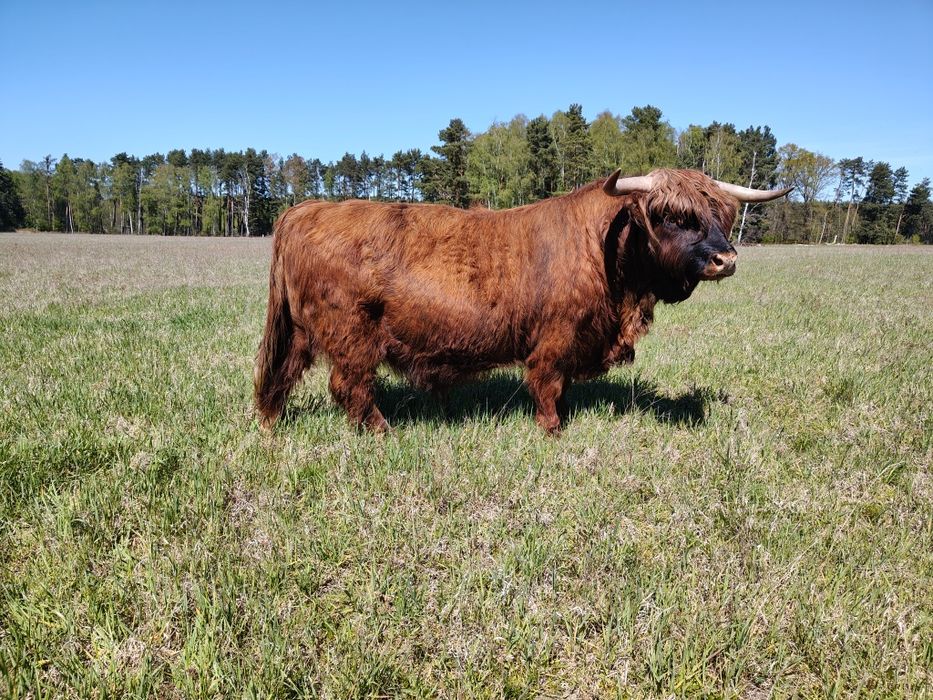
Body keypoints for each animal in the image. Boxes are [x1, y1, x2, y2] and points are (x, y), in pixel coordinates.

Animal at [253, 168, 789, 434]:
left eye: (721, 214)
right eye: (674, 216)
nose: (725, 259)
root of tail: (305, 210)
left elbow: (564, 385)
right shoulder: (555, 337)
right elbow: (548, 385)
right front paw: (552, 428)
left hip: (301, 332)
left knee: (281, 376)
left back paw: (271, 422)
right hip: (351, 334)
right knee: (350, 386)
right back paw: (382, 431)